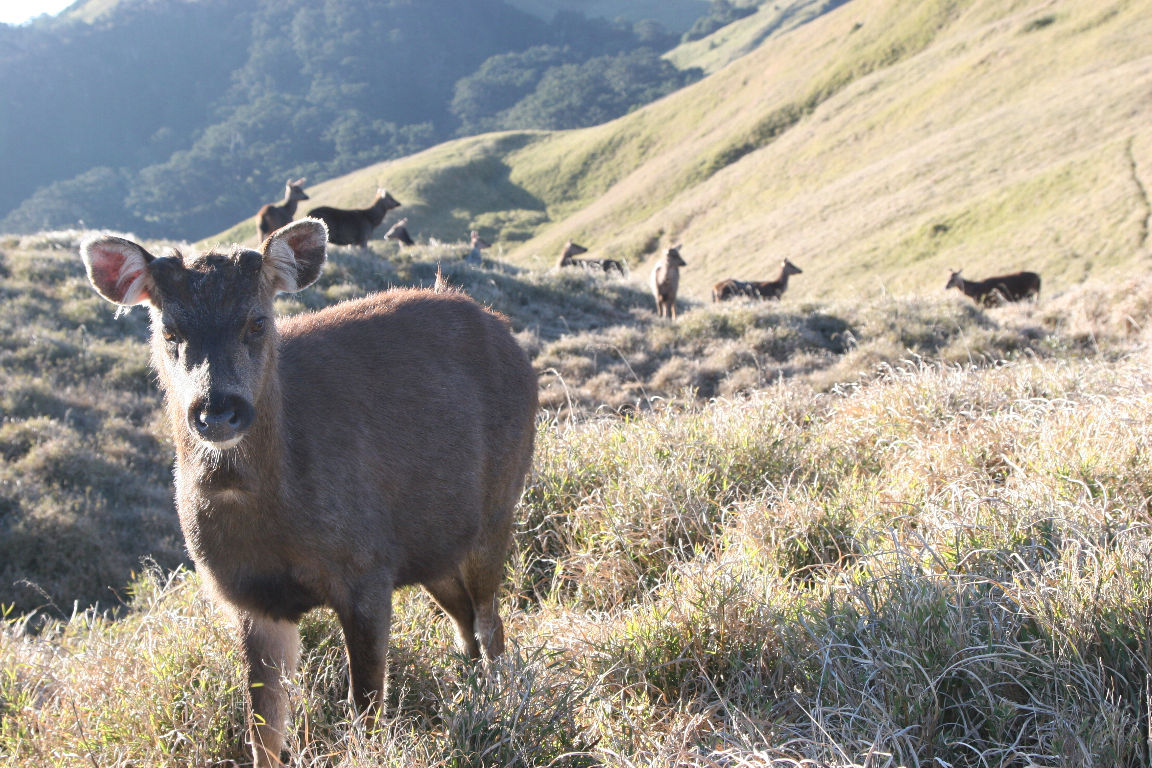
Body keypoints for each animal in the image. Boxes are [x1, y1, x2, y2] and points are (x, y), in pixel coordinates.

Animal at [80, 218, 538, 768]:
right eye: (169, 330)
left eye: (257, 322)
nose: (217, 411)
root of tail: (506, 332)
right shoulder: (250, 598)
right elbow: (263, 729)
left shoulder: (367, 569)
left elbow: (365, 708)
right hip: (433, 545)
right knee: (465, 620)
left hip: (499, 505)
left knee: (490, 621)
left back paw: (500, 702)